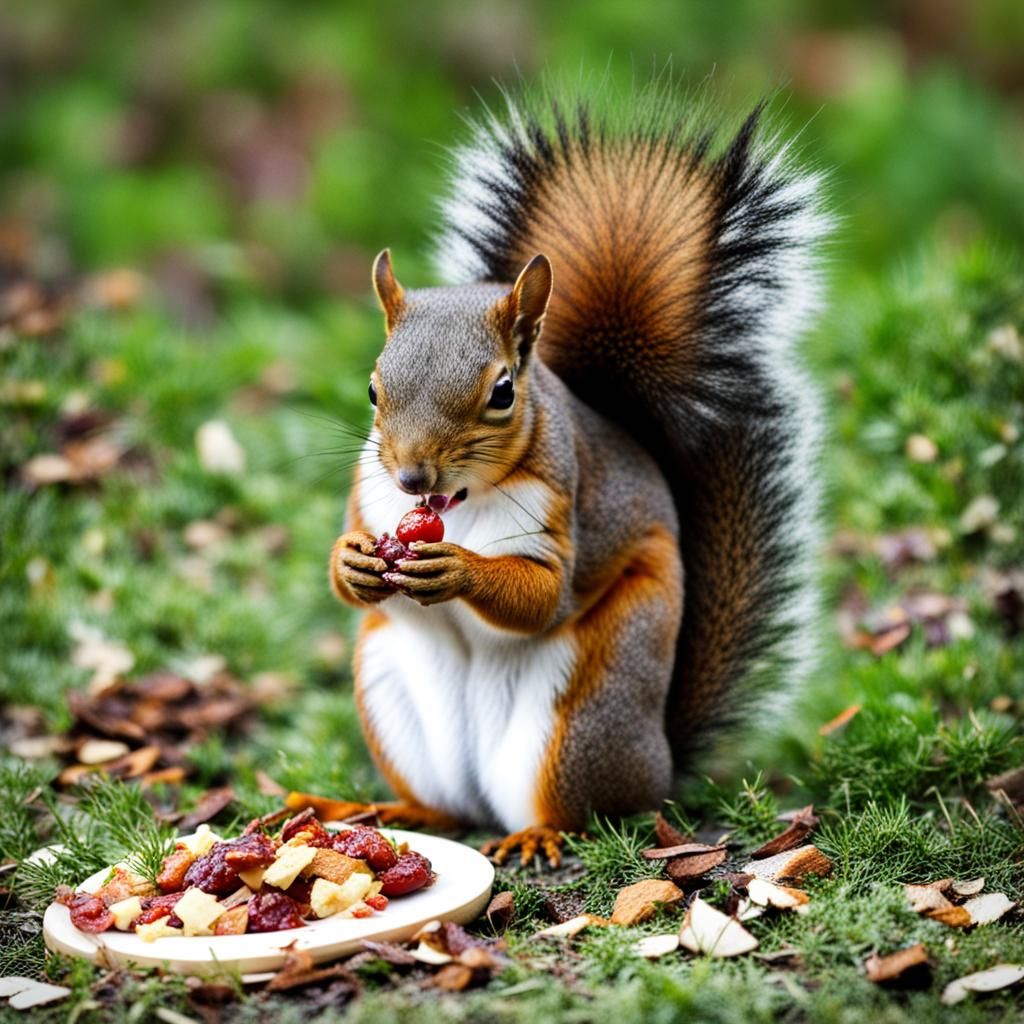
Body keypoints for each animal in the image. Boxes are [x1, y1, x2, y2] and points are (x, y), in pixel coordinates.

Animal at [325, 90, 829, 866]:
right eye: (374, 389)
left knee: (587, 809)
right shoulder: (370, 498)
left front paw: (459, 569)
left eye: (502, 392)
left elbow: (542, 596)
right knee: (443, 806)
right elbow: (344, 565)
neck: (457, 503)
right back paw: (384, 808)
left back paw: (538, 833)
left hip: (585, 716)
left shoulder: (555, 511)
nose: (411, 477)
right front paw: (352, 562)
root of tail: (662, 762)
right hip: (390, 693)